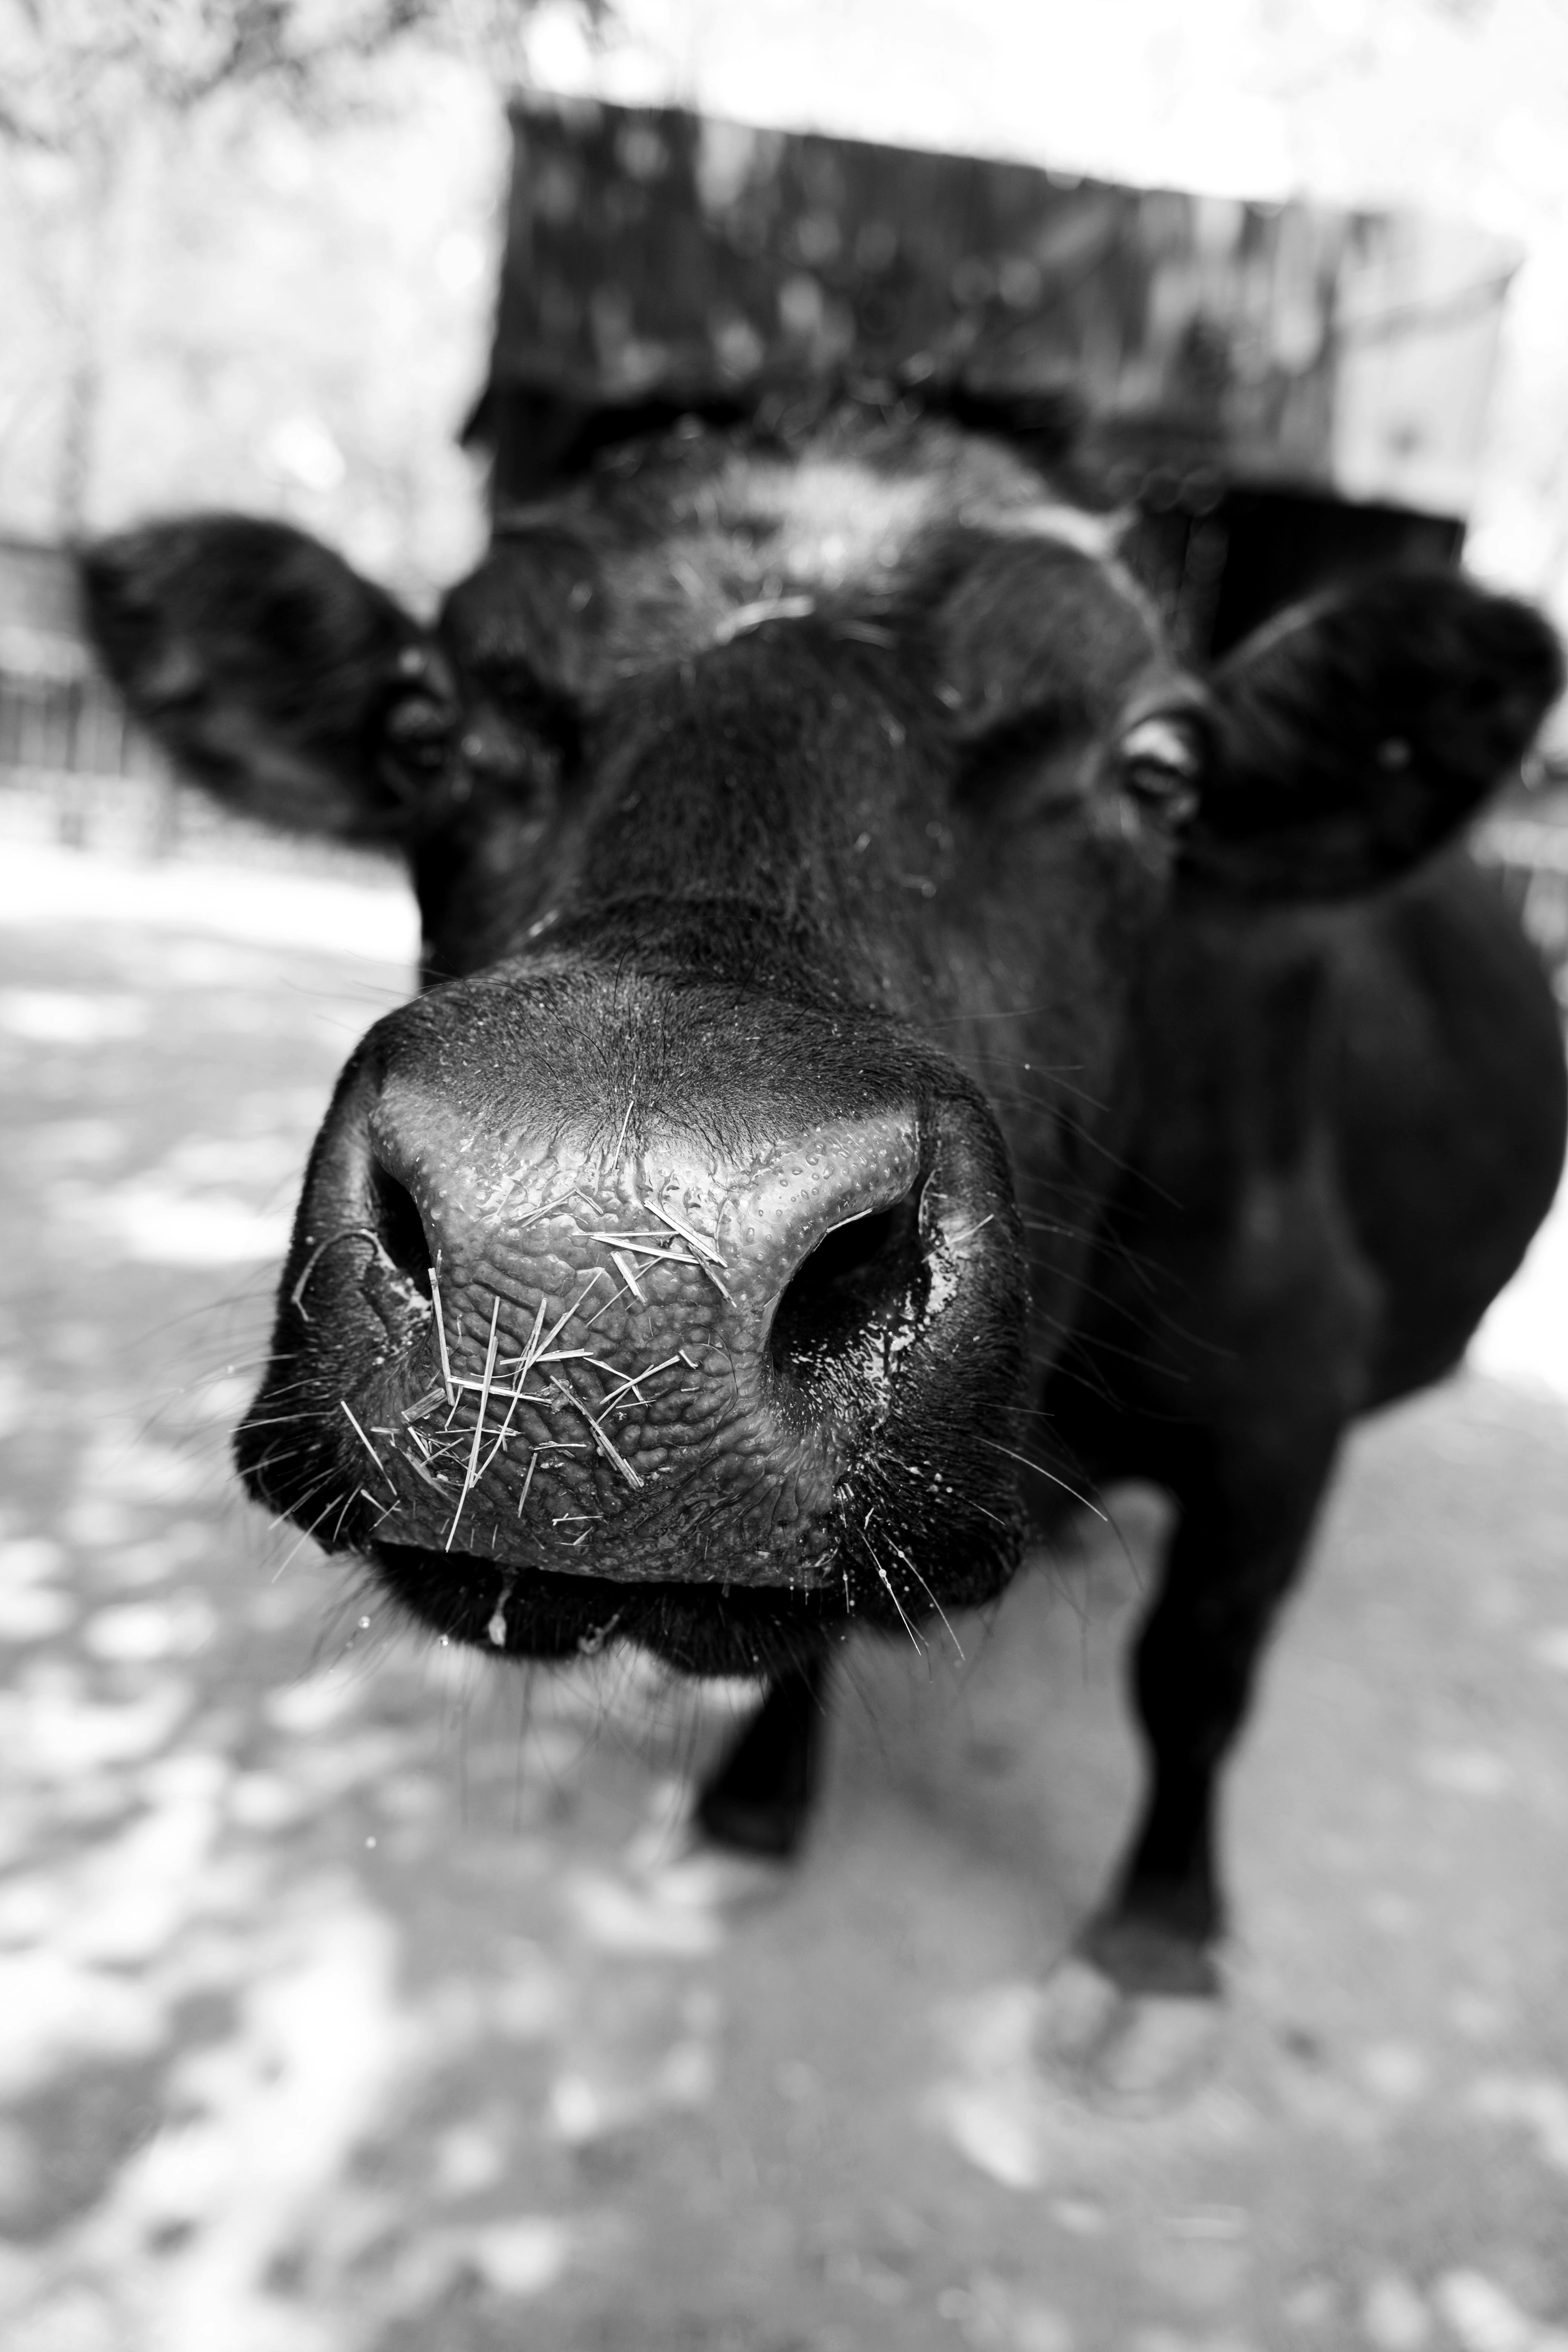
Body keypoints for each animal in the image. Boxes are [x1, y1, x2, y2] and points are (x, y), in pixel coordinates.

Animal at [83, 401, 1566, 2098]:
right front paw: (748, 1811)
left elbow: (1193, 1673)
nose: (608, 1254)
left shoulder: (1286, 1401)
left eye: (1161, 769)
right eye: (423, 732)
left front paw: (1154, 1948)